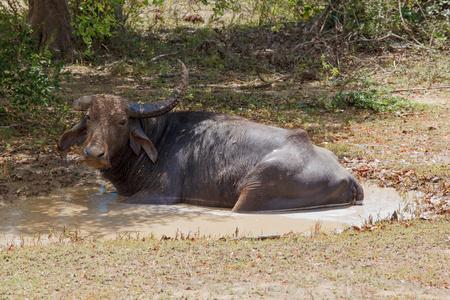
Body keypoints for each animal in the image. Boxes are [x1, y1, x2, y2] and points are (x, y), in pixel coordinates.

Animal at [59, 61, 364, 212]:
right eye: (89, 117)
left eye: (122, 121)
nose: (93, 154)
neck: (159, 139)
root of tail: (347, 176)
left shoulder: (162, 195)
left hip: (254, 191)